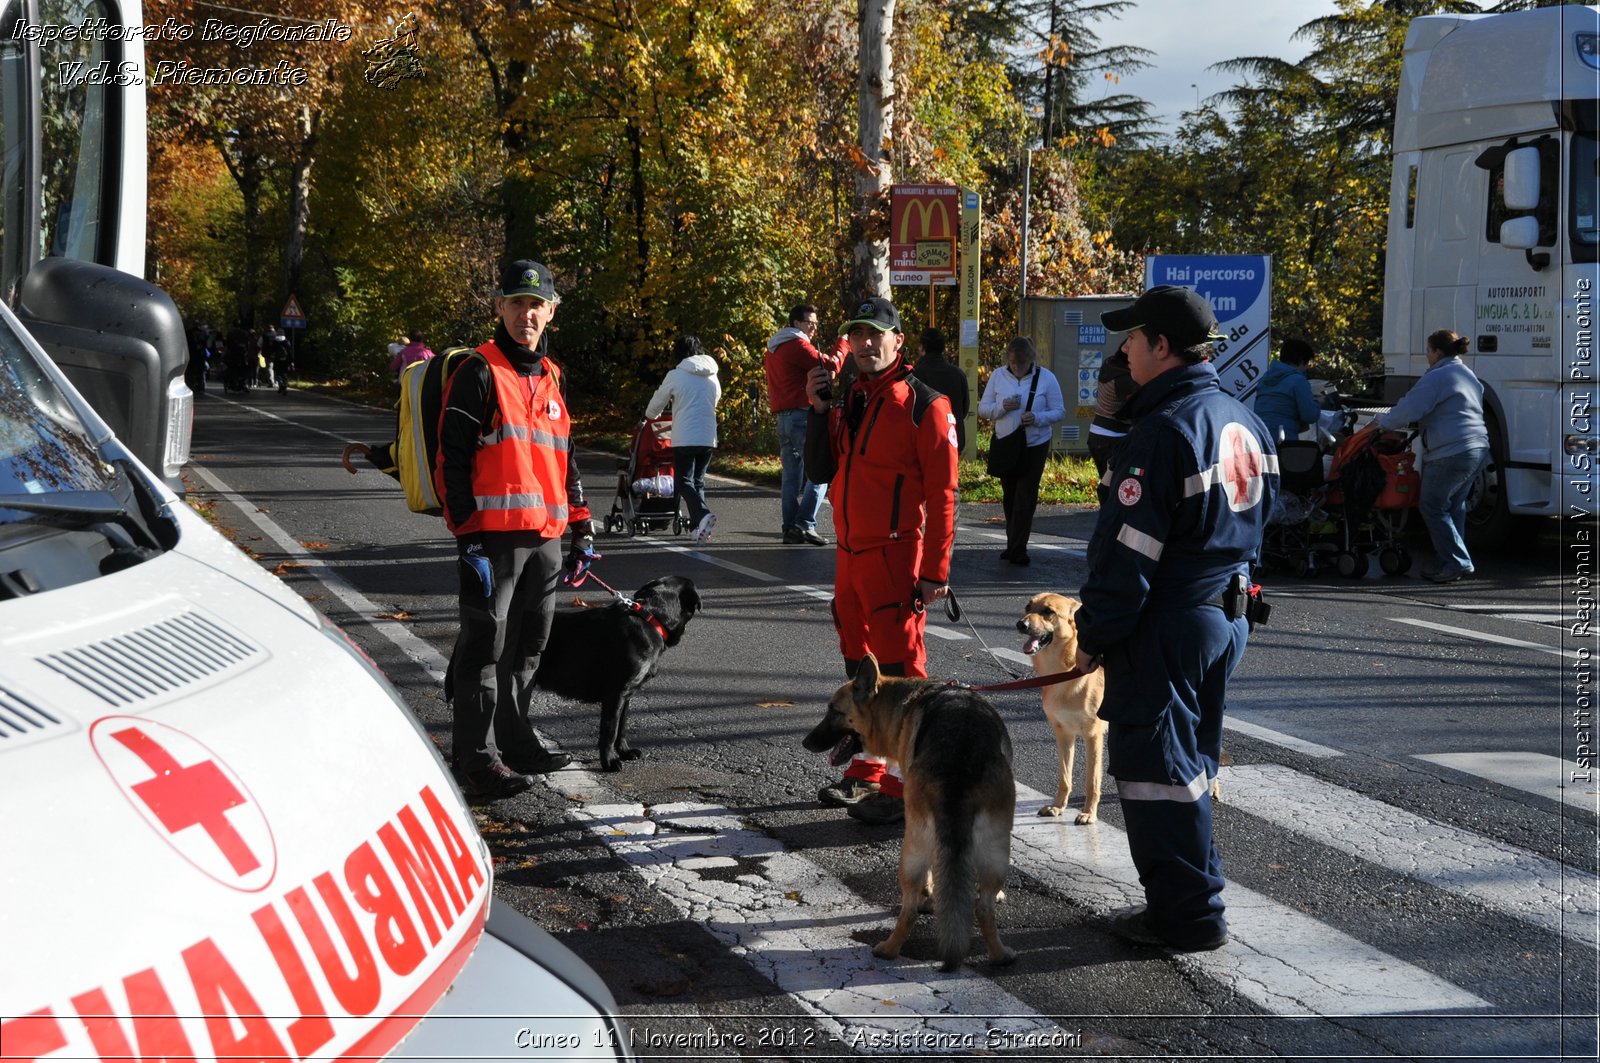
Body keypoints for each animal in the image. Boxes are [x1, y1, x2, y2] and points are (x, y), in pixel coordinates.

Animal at [537, 576, 700, 768]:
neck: (650, 619)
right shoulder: (615, 694)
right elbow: (610, 730)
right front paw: (609, 761)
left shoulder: (627, 695)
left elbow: (622, 726)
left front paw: (624, 751)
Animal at [800, 646, 1011, 973]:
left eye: (834, 710)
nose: (805, 742)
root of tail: (961, 760)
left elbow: (928, 880)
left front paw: (928, 896)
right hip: (996, 847)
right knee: (983, 907)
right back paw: (1000, 955)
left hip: (911, 849)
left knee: (908, 908)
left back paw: (889, 948)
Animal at [1017, 592, 1107, 826]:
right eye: (1027, 607)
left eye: (1048, 612)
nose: (1021, 624)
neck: (1065, 671)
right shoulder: (1063, 733)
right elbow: (1065, 777)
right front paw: (1058, 807)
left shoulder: (1093, 735)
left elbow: (1092, 781)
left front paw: (1089, 813)